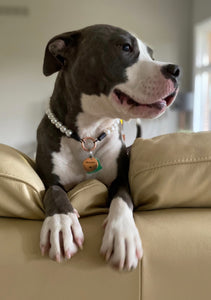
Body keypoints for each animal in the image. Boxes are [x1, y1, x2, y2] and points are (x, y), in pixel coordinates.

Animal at [36, 24, 180, 270]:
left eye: (152, 56)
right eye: (126, 47)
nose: (176, 69)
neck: (87, 135)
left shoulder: (121, 180)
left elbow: (121, 199)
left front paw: (122, 235)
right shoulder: (50, 182)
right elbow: (54, 194)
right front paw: (61, 223)